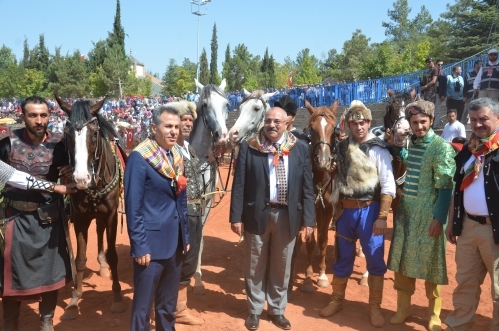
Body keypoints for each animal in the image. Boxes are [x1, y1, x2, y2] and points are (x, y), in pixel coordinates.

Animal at [54, 97, 127, 320]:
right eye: (66, 134)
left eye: (94, 133)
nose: (80, 179)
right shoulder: (80, 218)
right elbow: (79, 259)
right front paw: (74, 300)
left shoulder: (111, 215)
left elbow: (113, 255)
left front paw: (117, 297)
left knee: (101, 230)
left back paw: (103, 265)